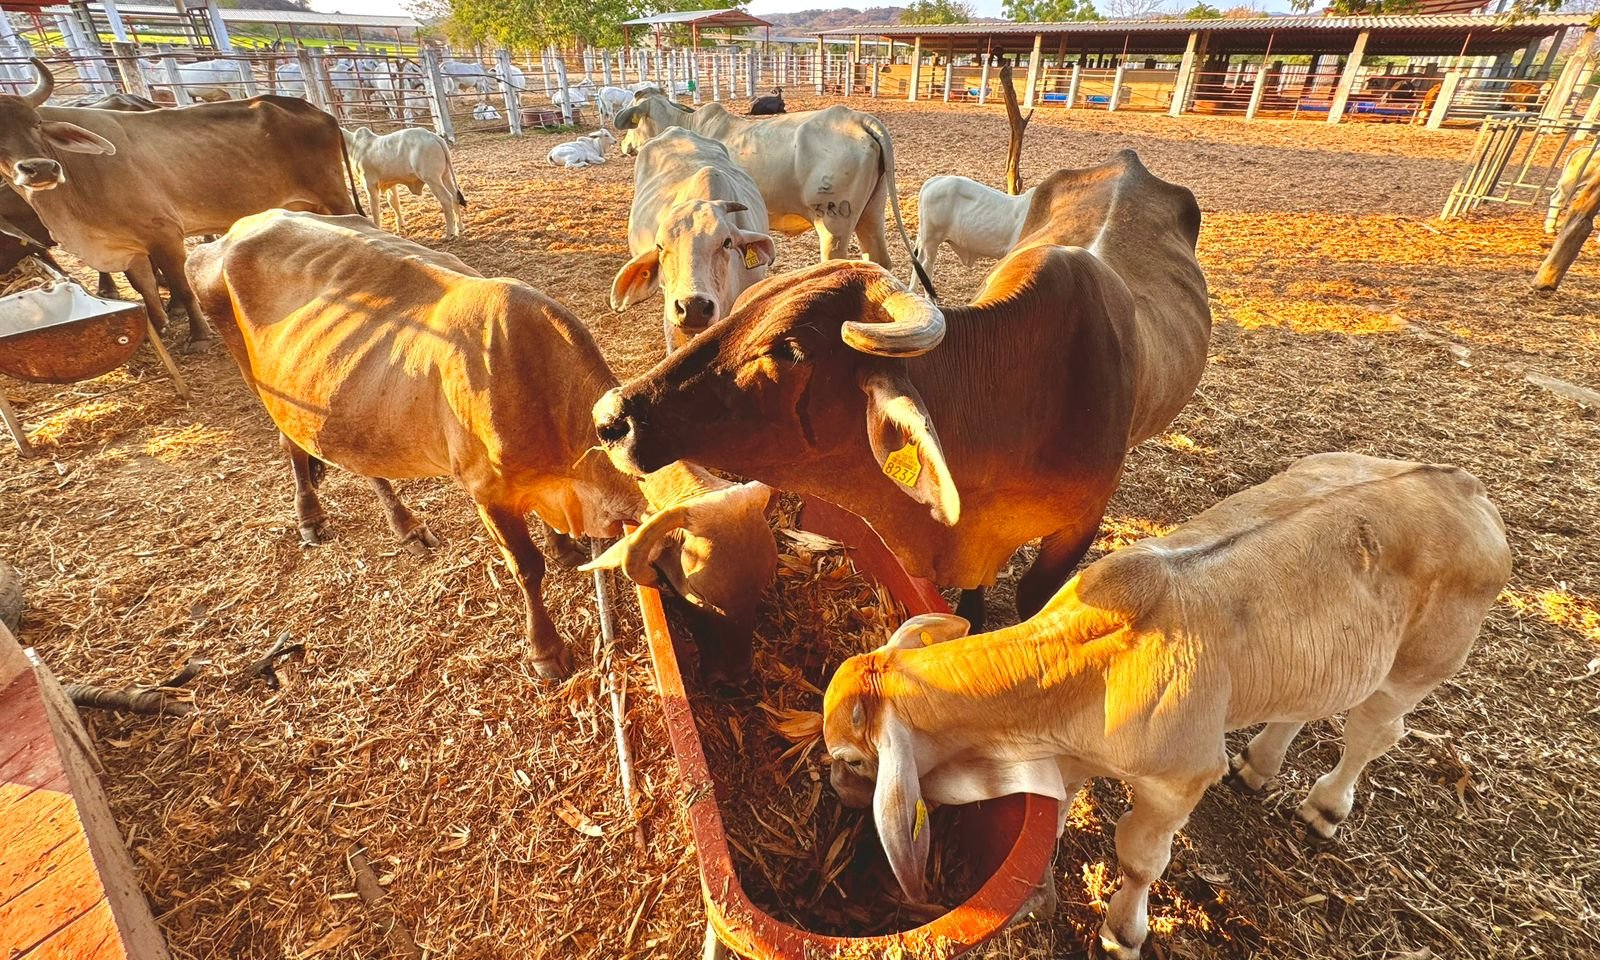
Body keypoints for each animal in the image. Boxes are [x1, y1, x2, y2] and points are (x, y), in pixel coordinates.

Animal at [190, 211, 777, 681]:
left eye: (762, 589)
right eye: (692, 595)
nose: (735, 678)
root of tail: (228, 235)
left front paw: (563, 547)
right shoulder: (487, 492)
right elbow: (527, 569)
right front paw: (546, 651)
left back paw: (405, 524)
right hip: (265, 387)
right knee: (292, 447)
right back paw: (310, 516)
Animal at [611, 90, 934, 294]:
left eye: (633, 123)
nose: (625, 145)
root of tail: (858, 119)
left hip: (833, 224)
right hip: (872, 211)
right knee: (878, 258)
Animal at [825, 454, 1510, 960]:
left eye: (851, 758)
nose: (836, 791)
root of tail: (1462, 482)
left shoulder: (1176, 780)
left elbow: (1138, 858)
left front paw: (1121, 932)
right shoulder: (1068, 752)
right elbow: (1056, 812)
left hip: (1419, 664)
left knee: (1374, 731)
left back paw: (1326, 805)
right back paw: (1259, 764)